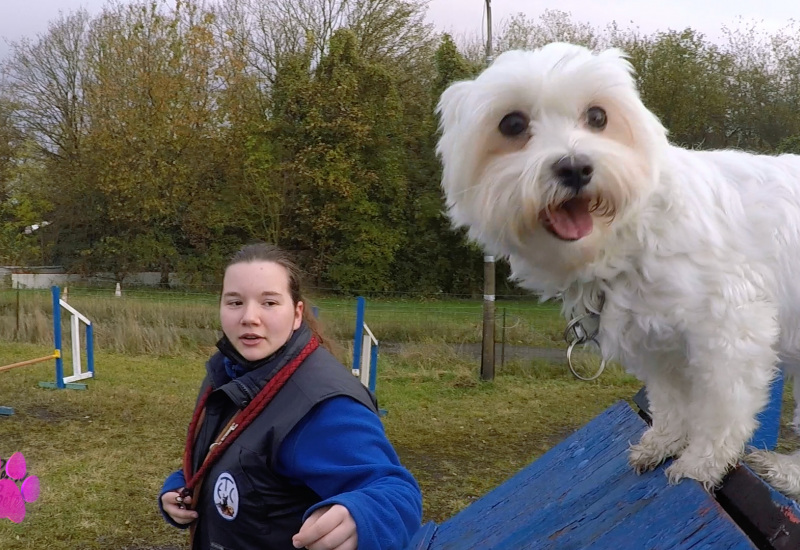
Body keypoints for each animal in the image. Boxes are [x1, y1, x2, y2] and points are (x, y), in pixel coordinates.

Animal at [440, 44, 800, 500]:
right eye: (512, 124)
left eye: (597, 117)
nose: (575, 167)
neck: (631, 237)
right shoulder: (658, 346)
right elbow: (672, 402)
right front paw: (663, 443)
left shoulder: (731, 329)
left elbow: (721, 408)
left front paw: (700, 464)